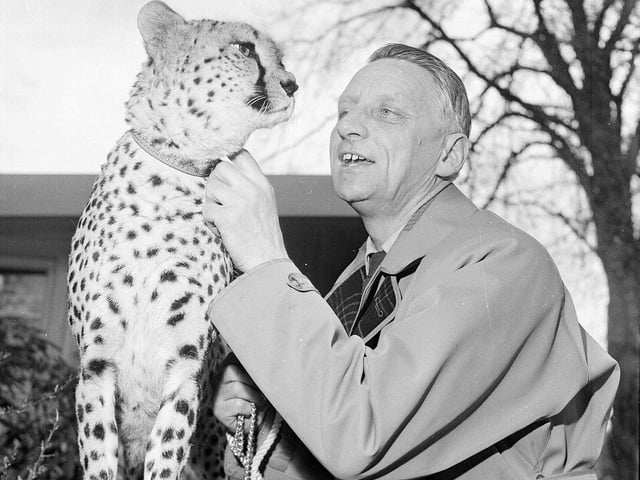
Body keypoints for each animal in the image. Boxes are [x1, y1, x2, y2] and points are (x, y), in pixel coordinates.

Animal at [66, 2, 296, 479]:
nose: (292, 84)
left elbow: (167, 452)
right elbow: (100, 457)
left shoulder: (185, 369)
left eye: (280, 57)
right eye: (244, 48)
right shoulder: (95, 368)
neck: (176, 171)